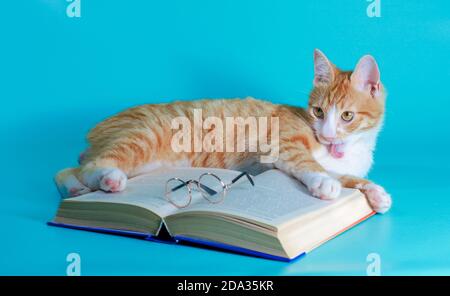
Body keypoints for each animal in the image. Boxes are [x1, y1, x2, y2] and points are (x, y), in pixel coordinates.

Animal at [56, 50, 392, 213]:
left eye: (346, 116)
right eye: (318, 112)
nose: (329, 133)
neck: (343, 149)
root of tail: (97, 128)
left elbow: (348, 176)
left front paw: (375, 193)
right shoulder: (282, 145)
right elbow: (310, 164)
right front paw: (324, 182)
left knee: (69, 170)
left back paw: (74, 188)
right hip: (145, 138)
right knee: (91, 165)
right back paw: (107, 179)